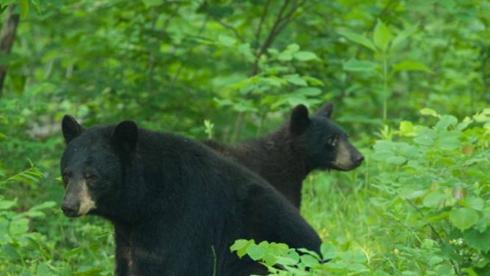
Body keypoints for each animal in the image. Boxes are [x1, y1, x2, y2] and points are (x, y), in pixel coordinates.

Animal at [60, 116, 322, 276]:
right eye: (67, 173)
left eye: (92, 176)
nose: (69, 206)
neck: (147, 197)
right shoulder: (127, 233)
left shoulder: (178, 221)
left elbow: (166, 265)